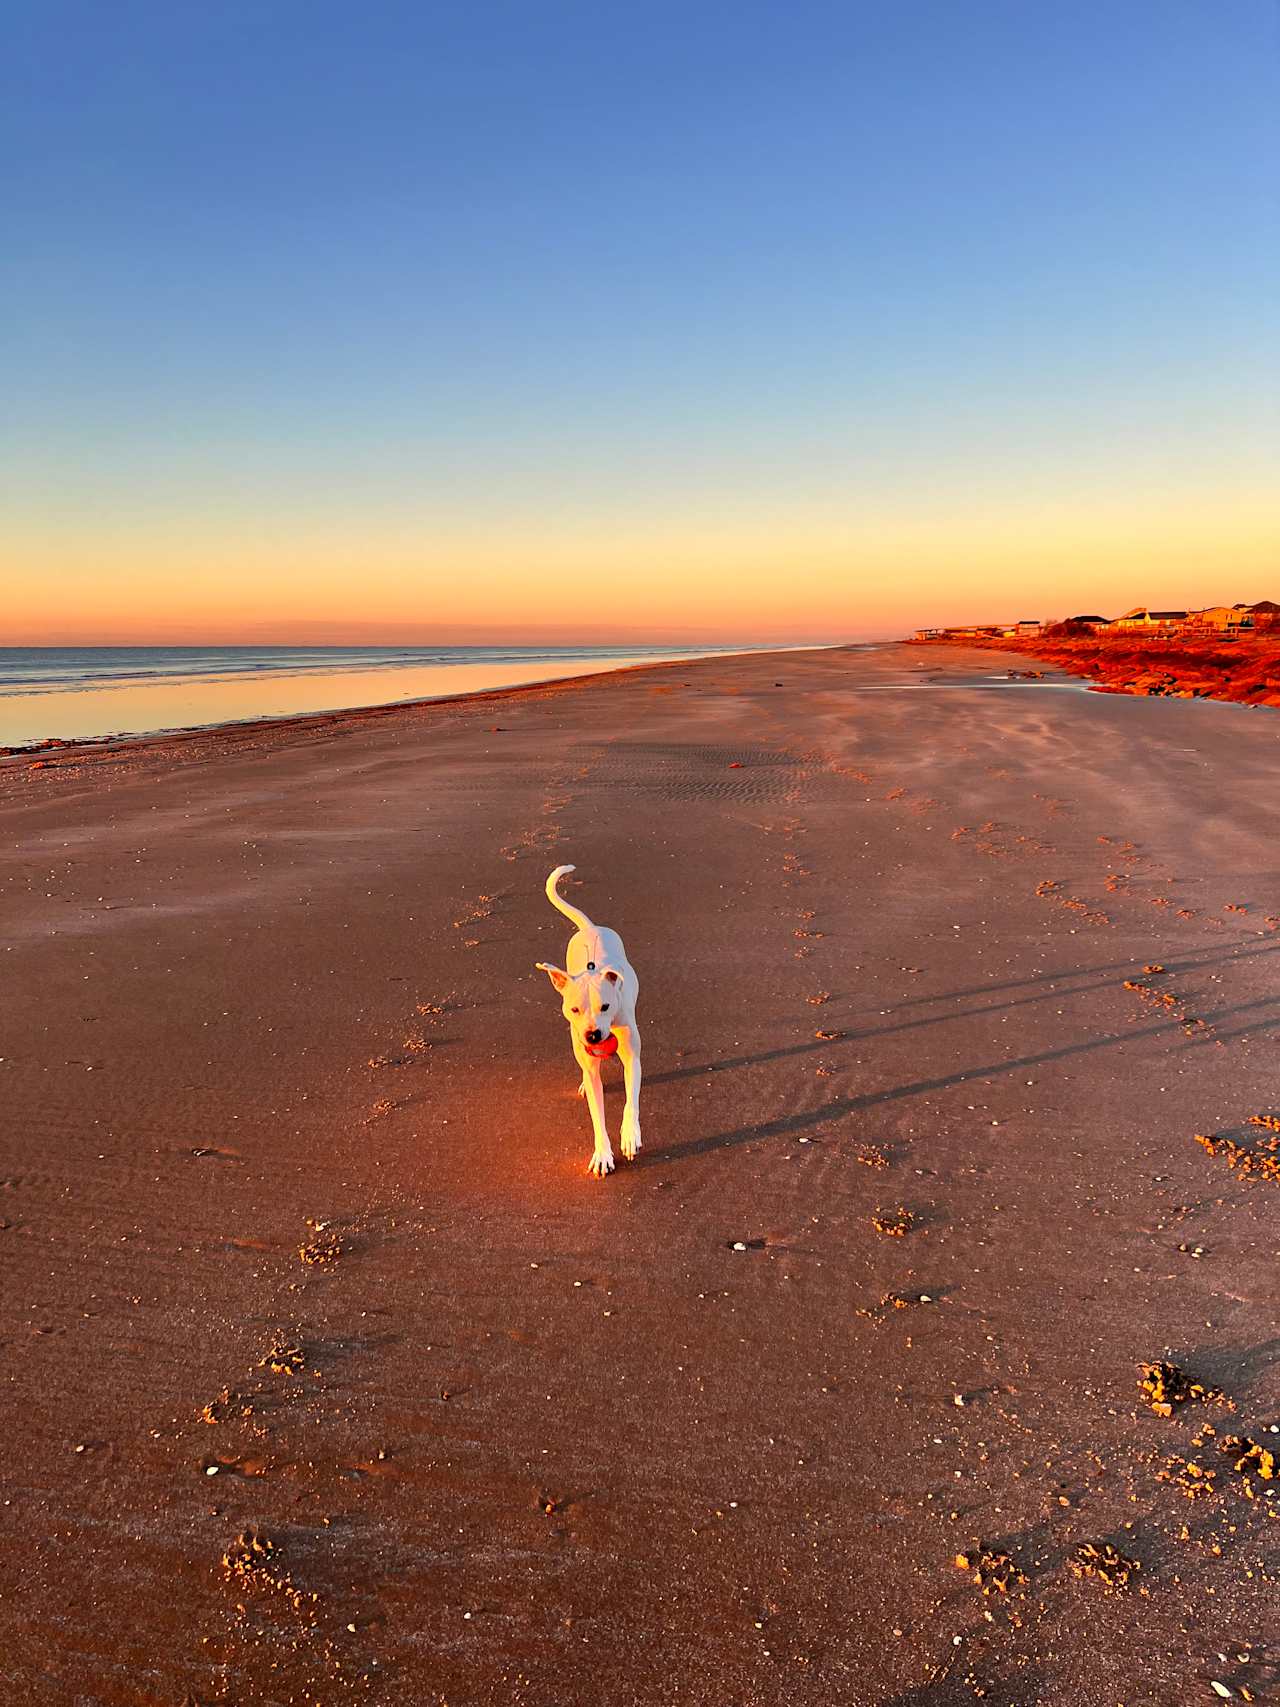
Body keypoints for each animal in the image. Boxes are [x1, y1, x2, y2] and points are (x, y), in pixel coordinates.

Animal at [539, 867, 645, 1174]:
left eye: (606, 1007)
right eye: (574, 1009)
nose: (593, 1035)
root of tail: (590, 927)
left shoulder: (631, 1056)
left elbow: (631, 1099)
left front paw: (630, 1135)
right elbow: (598, 1115)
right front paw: (602, 1153)